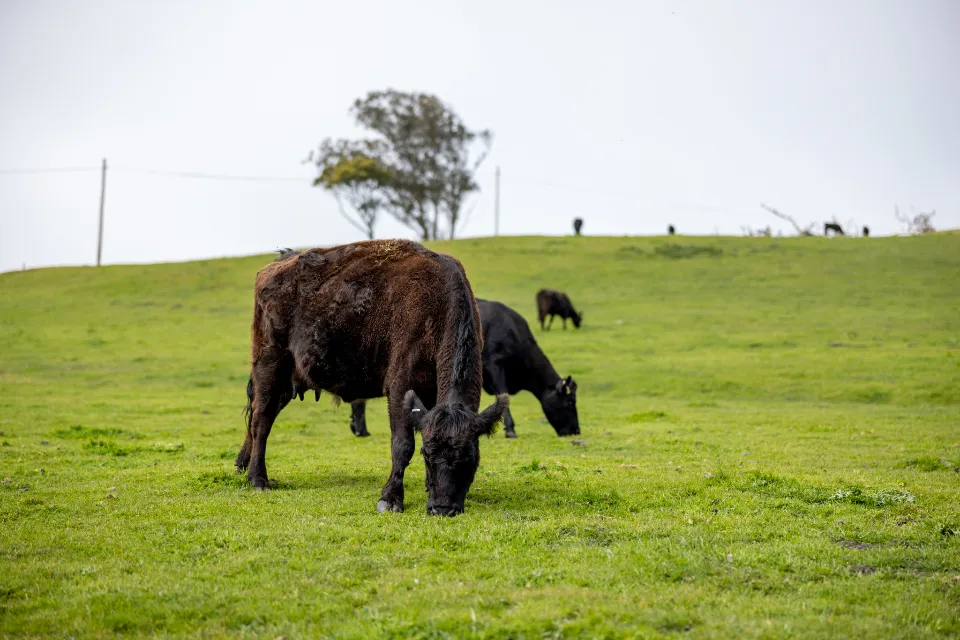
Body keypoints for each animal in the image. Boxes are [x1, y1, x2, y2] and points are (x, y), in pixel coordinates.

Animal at [234, 239, 508, 517]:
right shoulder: (400, 387)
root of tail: (278, 263)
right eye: (427, 454)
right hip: (269, 365)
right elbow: (402, 444)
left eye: (470, 458)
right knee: (261, 420)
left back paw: (243, 464)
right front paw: (391, 497)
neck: (436, 307)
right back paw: (258, 479)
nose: (442, 508)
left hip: (287, 381)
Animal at [347, 299, 580, 439]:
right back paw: (361, 430)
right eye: (570, 402)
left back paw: (358, 429)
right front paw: (511, 429)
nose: (575, 430)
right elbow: (503, 396)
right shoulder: (495, 367)